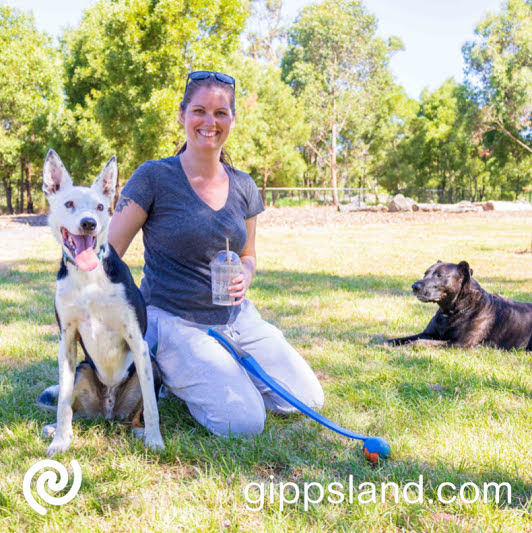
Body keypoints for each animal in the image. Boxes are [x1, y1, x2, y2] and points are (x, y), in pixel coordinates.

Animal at [38, 151, 164, 458]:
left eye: (100, 207)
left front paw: (155, 439)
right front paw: (61, 440)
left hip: (151, 366)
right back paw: (55, 429)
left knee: (140, 412)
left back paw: (140, 431)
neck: (89, 278)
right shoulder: (67, 340)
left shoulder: (137, 340)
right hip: (82, 370)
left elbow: (152, 406)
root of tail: (108, 413)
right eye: (69, 204)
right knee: (74, 408)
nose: (89, 223)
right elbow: (62, 405)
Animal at [386, 260, 532, 350]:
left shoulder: (459, 343)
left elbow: (420, 342)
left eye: (440, 276)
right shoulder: (427, 333)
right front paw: (385, 343)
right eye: (425, 273)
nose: (414, 286)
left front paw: (403, 348)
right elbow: (401, 338)